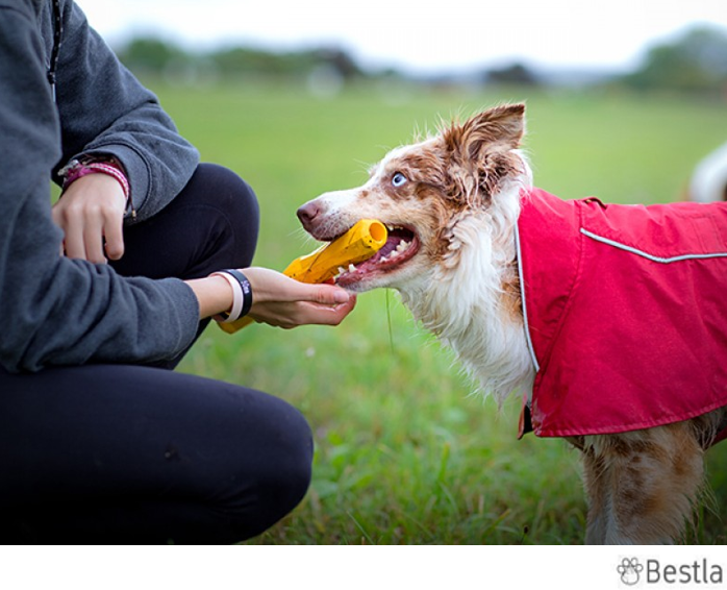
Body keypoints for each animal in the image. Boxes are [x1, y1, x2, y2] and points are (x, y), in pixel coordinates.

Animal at [296, 105, 727, 544]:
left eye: (398, 179)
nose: (303, 212)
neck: (505, 265)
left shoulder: (650, 452)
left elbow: (620, 537)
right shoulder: (604, 450)